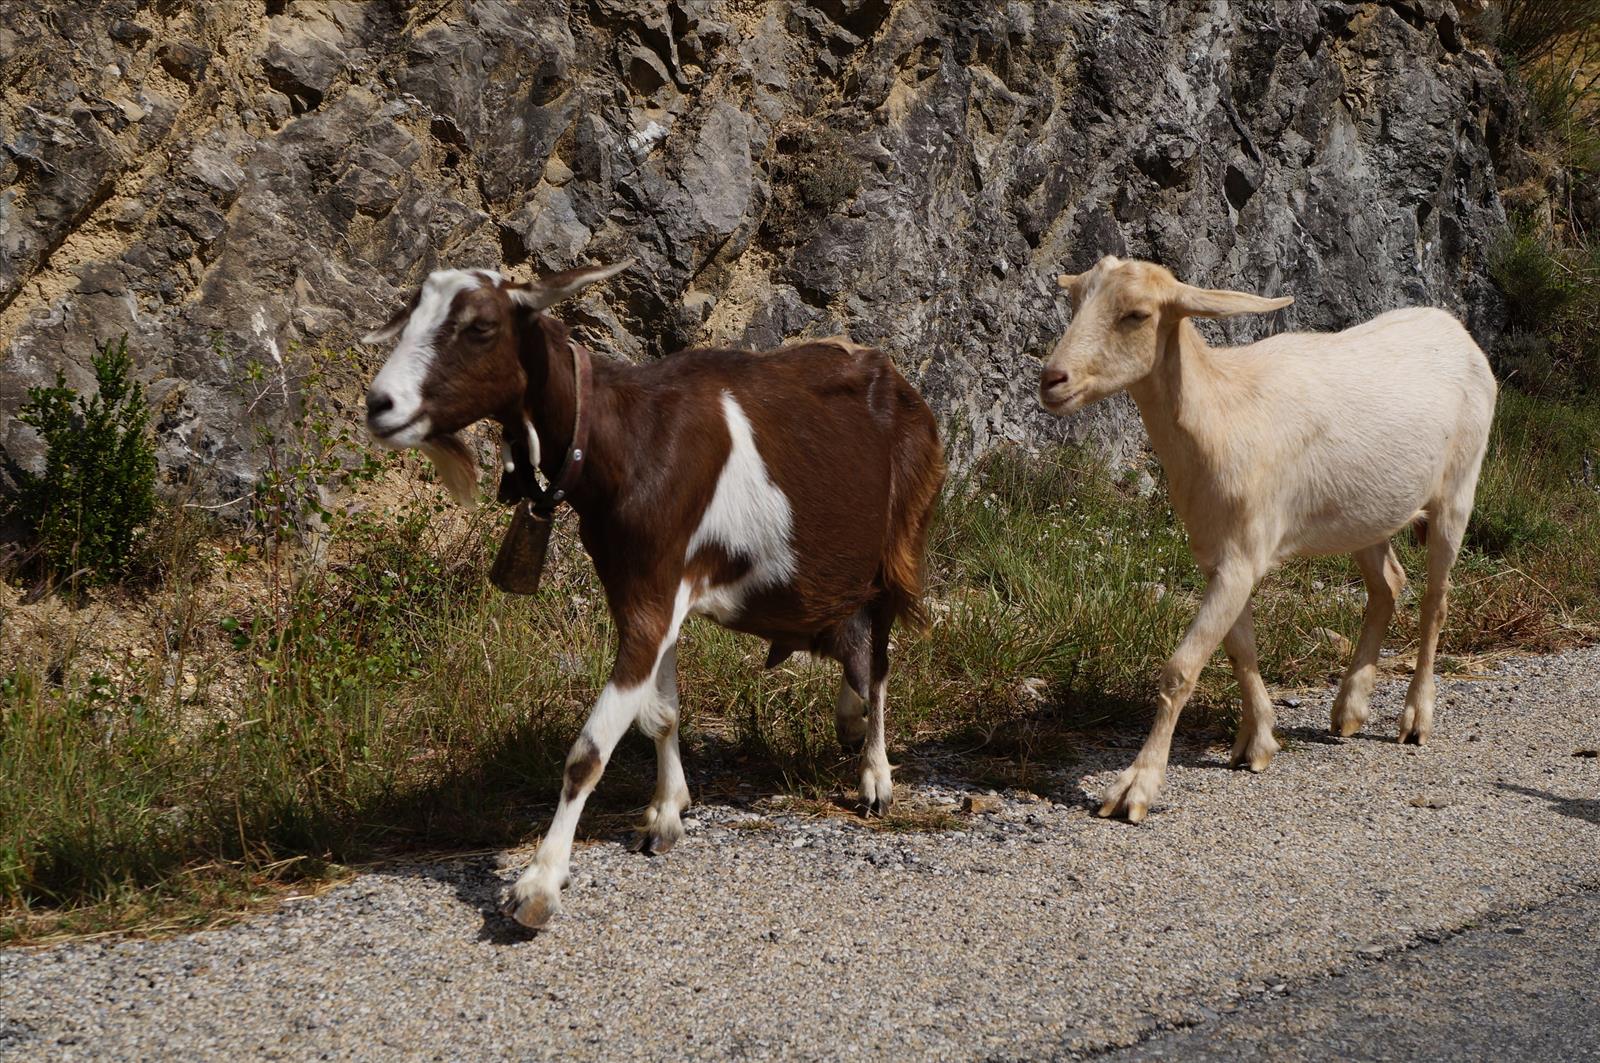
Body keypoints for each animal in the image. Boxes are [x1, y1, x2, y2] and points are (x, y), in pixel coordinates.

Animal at [360, 264, 947, 922]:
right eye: (410, 316)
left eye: (480, 326)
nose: (380, 405)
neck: (624, 440)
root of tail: (899, 382)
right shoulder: (644, 589)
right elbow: (660, 711)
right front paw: (667, 813)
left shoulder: (652, 596)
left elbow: (589, 750)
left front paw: (539, 882)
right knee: (854, 648)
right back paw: (848, 725)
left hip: (897, 545)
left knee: (878, 662)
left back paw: (875, 776)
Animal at [1036, 256, 1497, 819]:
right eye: (1076, 299)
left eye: (1137, 314)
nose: (1052, 380)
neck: (1221, 413)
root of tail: (1454, 328)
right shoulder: (1219, 553)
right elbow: (1240, 650)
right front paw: (1255, 744)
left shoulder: (1243, 552)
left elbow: (1180, 670)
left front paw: (1135, 788)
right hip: (1367, 512)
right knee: (1388, 584)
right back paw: (1349, 708)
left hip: (1459, 486)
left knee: (1436, 599)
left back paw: (1414, 719)